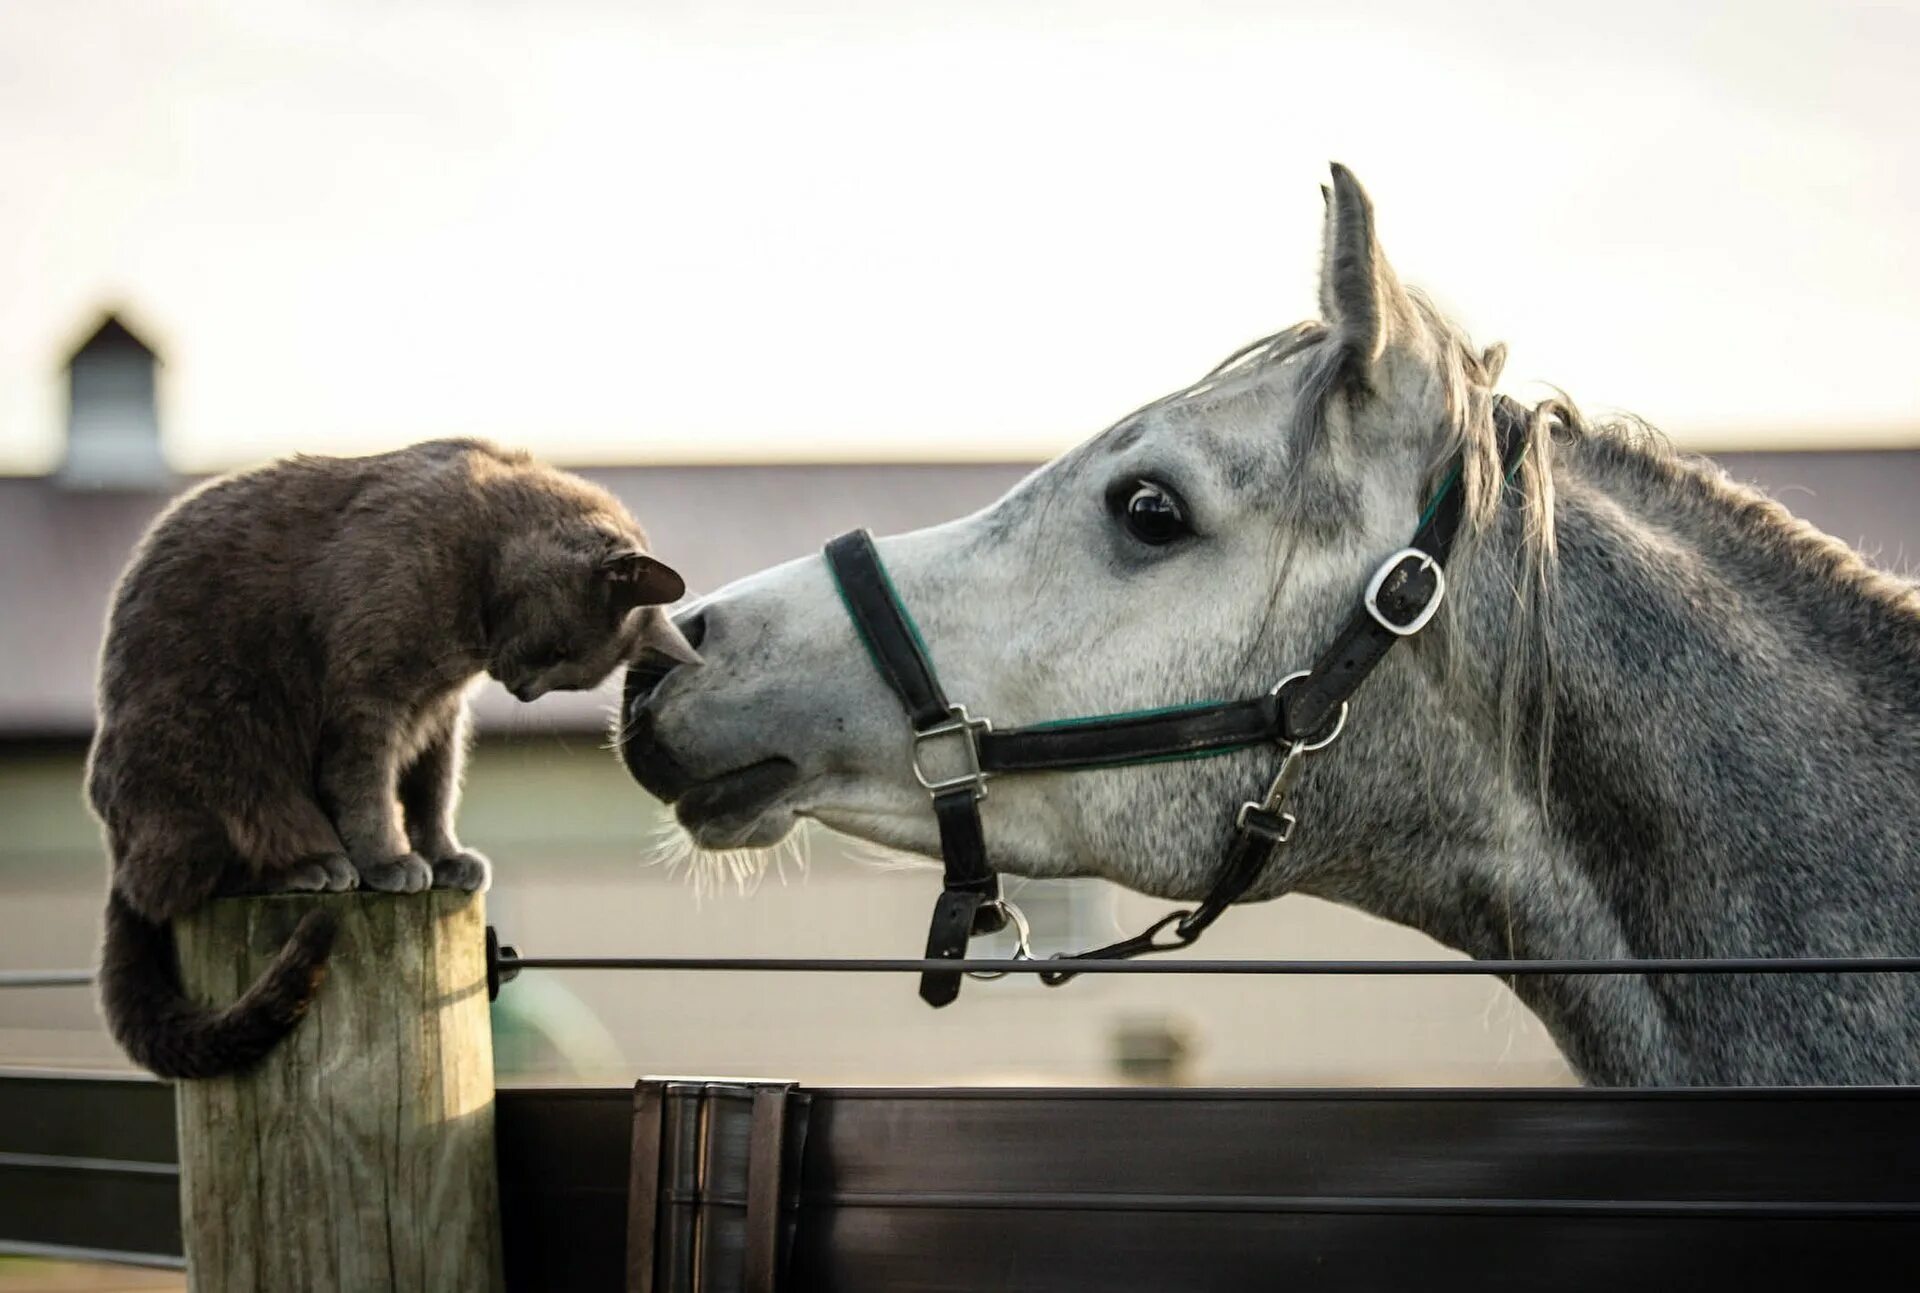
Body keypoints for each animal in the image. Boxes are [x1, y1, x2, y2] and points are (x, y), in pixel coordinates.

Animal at [90, 438, 702, 1075]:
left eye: (571, 676)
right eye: (559, 651)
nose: (525, 692)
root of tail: (117, 848)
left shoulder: (439, 718)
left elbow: (433, 793)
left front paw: (446, 857)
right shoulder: (369, 699)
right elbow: (369, 791)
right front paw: (390, 862)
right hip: (219, 745)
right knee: (177, 882)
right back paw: (312, 866)